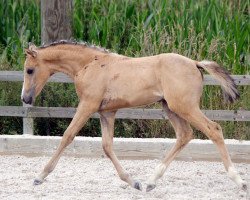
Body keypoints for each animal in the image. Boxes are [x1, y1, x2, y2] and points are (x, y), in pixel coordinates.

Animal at [21, 41, 246, 192]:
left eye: (29, 70)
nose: (25, 98)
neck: (89, 64)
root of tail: (194, 63)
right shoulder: (106, 112)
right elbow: (107, 146)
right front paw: (133, 182)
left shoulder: (87, 105)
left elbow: (67, 136)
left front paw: (39, 177)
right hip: (171, 107)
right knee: (184, 135)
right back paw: (151, 181)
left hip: (184, 107)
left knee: (213, 129)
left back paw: (239, 180)